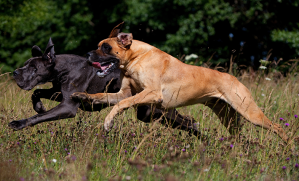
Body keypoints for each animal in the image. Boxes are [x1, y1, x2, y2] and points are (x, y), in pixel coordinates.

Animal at [8, 37, 200, 135]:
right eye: (25, 64)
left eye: (33, 68)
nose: (15, 72)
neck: (62, 69)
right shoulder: (59, 92)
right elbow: (37, 92)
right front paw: (39, 106)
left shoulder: (67, 106)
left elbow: (39, 117)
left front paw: (19, 123)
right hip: (149, 113)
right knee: (184, 121)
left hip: (151, 111)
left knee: (185, 121)